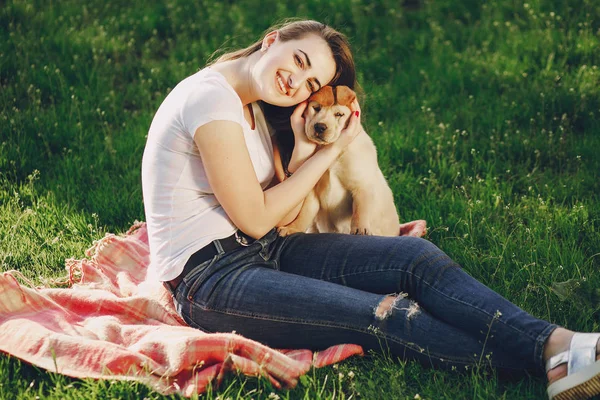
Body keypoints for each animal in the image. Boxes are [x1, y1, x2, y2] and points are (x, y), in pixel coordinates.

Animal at [276, 86, 426, 238]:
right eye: (316, 108)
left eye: (339, 114)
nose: (320, 127)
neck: (330, 151)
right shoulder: (312, 191)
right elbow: (304, 213)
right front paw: (293, 228)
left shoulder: (361, 184)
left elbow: (360, 209)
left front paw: (360, 230)